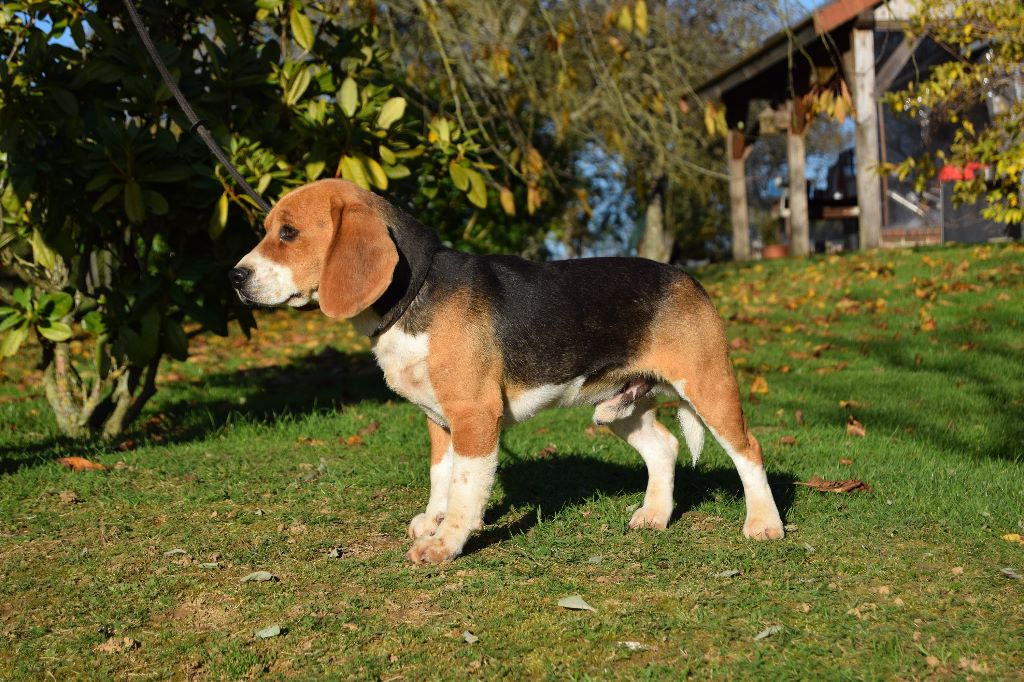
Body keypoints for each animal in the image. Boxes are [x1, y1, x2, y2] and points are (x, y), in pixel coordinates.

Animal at [226, 178, 782, 561]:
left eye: (289, 233)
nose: (235, 276)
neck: (415, 293)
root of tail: (688, 277)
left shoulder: (475, 417)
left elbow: (466, 488)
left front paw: (447, 542)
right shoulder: (440, 420)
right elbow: (442, 476)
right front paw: (435, 520)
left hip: (708, 387)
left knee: (749, 450)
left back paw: (764, 524)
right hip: (619, 405)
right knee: (664, 447)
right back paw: (655, 515)